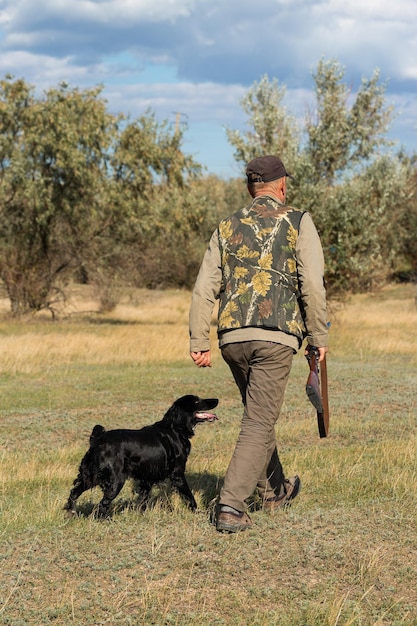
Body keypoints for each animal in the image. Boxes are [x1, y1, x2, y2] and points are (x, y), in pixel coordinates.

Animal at [63, 394, 218, 516]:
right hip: (115, 481)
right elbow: (189, 496)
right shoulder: (177, 474)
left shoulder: (146, 478)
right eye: (197, 401)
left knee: (74, 493)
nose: (216, 399)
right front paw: (198, 513)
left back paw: (71, 514)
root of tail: (98, 440)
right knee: (102, 504)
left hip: (89, 477)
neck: (175, 428)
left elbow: (142, 501)